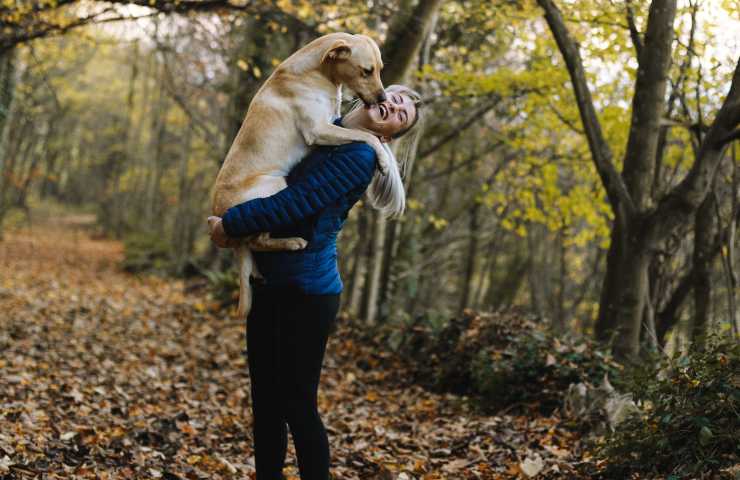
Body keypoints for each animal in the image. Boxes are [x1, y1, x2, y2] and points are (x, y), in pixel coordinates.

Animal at [208, 31, 390, 316]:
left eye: (380, 70)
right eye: (366, 71)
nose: (383, 99)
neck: (317, 72)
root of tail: (220, 212)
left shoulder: (331, 123)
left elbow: (361, 132)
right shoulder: (319, 130)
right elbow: (365, 136)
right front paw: (382, 157)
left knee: (253, 244)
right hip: (275, 186)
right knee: (259, 240)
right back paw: (292, 242)